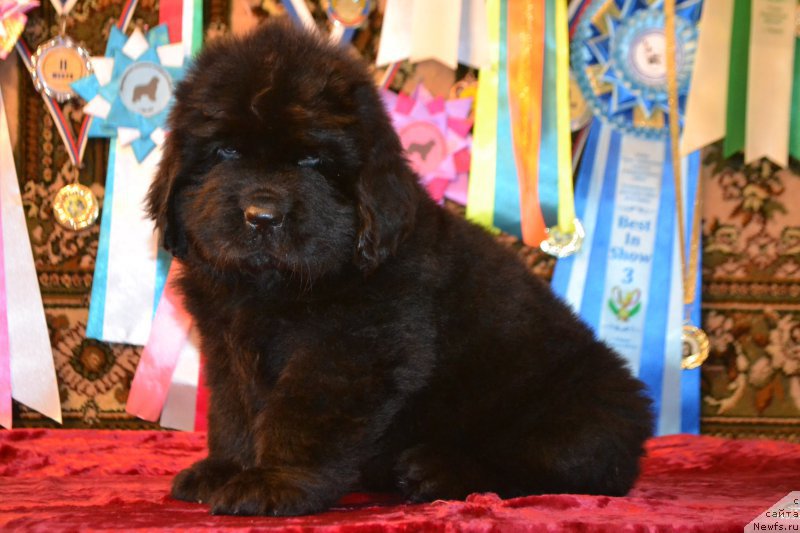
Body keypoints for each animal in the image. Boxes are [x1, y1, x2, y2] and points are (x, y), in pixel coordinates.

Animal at [147, 20, 652, 516]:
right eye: (226, 152)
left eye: (313, 160)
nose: (262, 215)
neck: (271, 286)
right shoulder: (226, 346)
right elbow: (233, 411)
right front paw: (224, 470)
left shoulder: (348, 349)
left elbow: (300, 414)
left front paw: (272, 483)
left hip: (577, 414)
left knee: (551, 468)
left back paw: (434, 471)